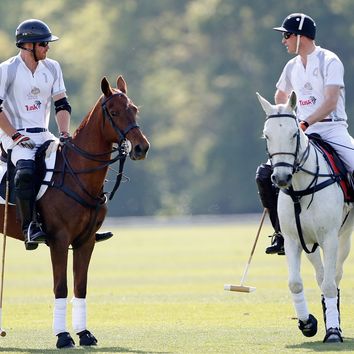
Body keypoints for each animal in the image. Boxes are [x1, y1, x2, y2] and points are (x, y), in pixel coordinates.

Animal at [0, 75, 149, 348]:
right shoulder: (59, 239)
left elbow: (81, 286)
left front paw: (84, 334)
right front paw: (63, 336)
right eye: (114, 112)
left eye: (134, 109)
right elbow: (61, 287)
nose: (141, 148)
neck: (77, 174)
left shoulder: (86, 240)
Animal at [258, 91, 354, 342]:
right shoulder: (294, 239)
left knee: (334, 276)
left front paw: (333, 332)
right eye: (266, 136)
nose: (281, 178)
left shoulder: (329, 238)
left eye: (294, 134)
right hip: (310, 242)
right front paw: (307, 322)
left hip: (343, 235)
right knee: (322, 276)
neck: (300, 190)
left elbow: (330, 285)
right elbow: (295, 284)